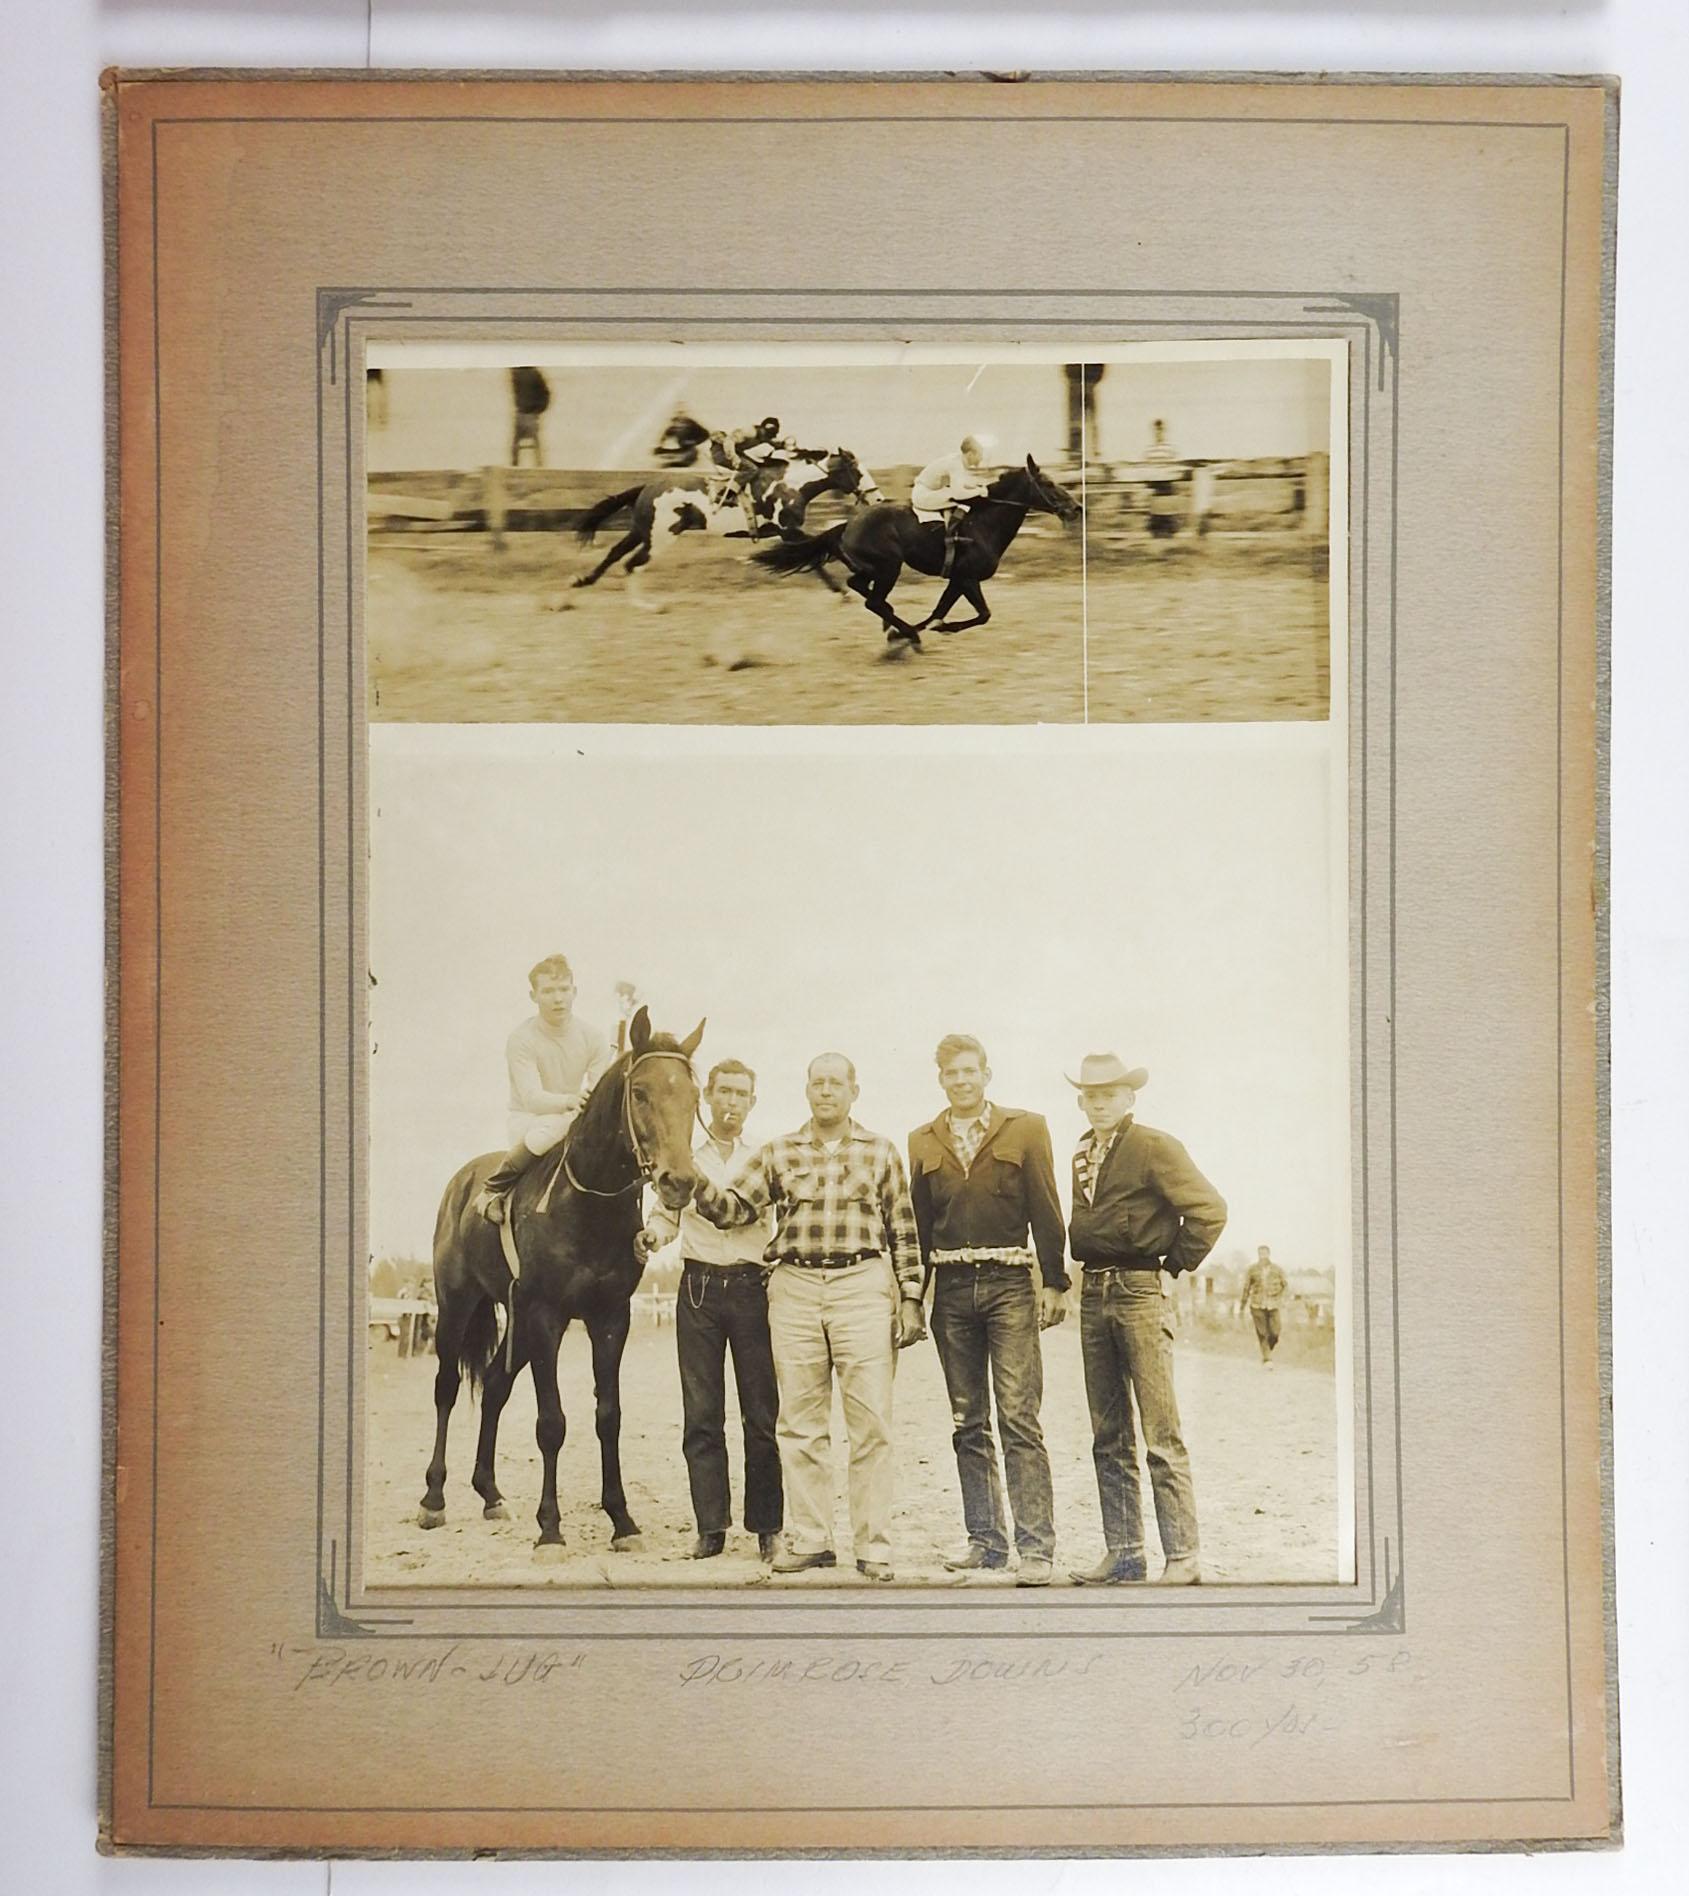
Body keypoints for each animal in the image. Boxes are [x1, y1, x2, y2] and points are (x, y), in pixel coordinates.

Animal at [426, 1008, 708, 1554]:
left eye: (693, 1095)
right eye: (640, 1092)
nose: (680, 1181)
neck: (587, 1204)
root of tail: (461, 1182)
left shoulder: (610, 1316)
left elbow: (609, 1417)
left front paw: (622, 1520)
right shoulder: (546, 1316)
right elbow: (551, 1422)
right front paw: (551, 1528)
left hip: (513, 1320)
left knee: (494, 1386)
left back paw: (490, 1493)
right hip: (456, 1305)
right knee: (447, 1387)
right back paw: (433, 1497)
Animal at [564, 443, 883, 599]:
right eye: (858, 472)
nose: (878, 498)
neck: (791, 486)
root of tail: (647, 487)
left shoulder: (787, 533)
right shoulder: (789, 531)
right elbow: (822, 553)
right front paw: (844, 588)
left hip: (641, 531)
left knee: (615, 554)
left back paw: (580, 583)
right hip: (660, 538)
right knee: (632, 563)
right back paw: (646, 606)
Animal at [754, 455, 1084, 648]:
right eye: (1048, 483)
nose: (1077, 508)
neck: (982, 523)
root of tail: (847, 525)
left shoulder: (958, 580)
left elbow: (940, 610)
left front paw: (919, 628)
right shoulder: (967, 578)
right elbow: (982, 614)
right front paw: (930, 629)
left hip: (873, 568)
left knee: (859, 587)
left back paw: (894, 623)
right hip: (889, 567)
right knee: (872, 600)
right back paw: (904, 630)